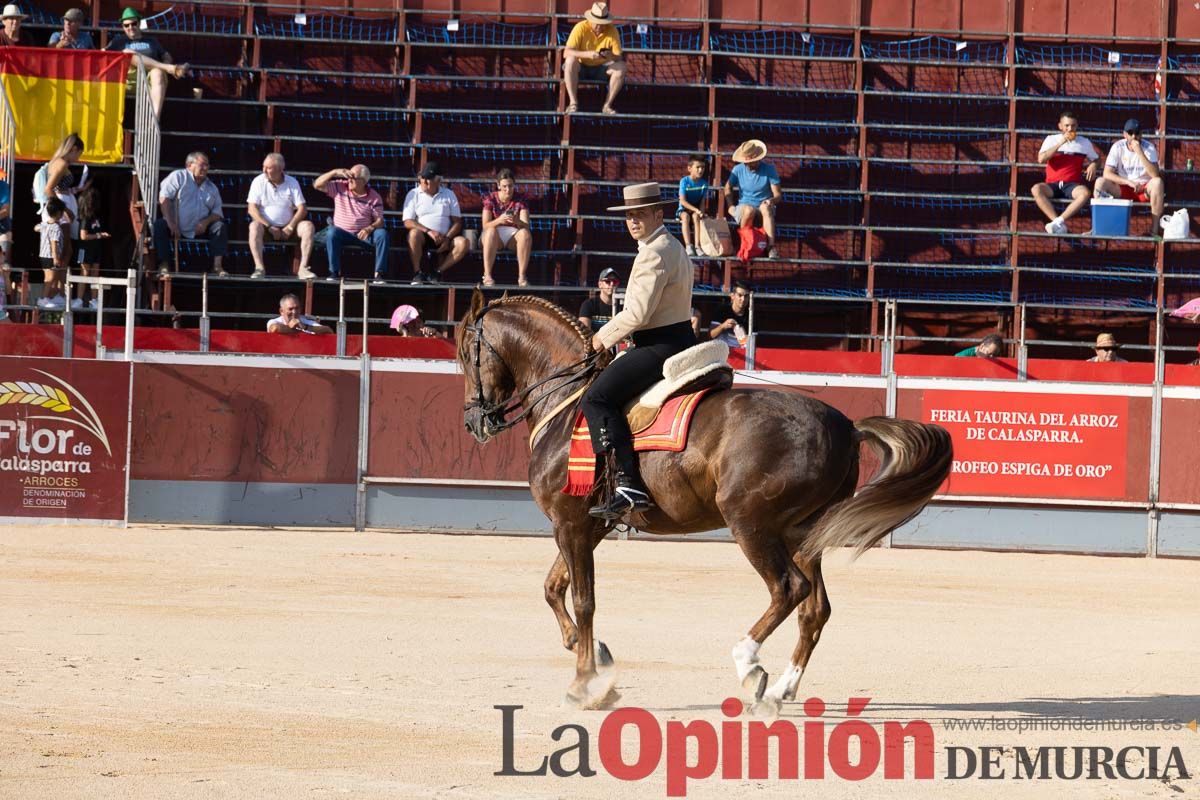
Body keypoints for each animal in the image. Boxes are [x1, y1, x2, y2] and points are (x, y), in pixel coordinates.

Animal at [453, 291, 950, 710]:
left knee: (789, 589)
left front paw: (584, 684)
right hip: (803, 534)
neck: (567, 402)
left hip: (751, 524)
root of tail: (845, 425)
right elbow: (553, 588)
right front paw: (588, 651)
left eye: (465, 354)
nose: (474, 421)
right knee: (814, 609)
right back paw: (783, 688)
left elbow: (582, 599)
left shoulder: (570, 523)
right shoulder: (587, 525)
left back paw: (748, 664)